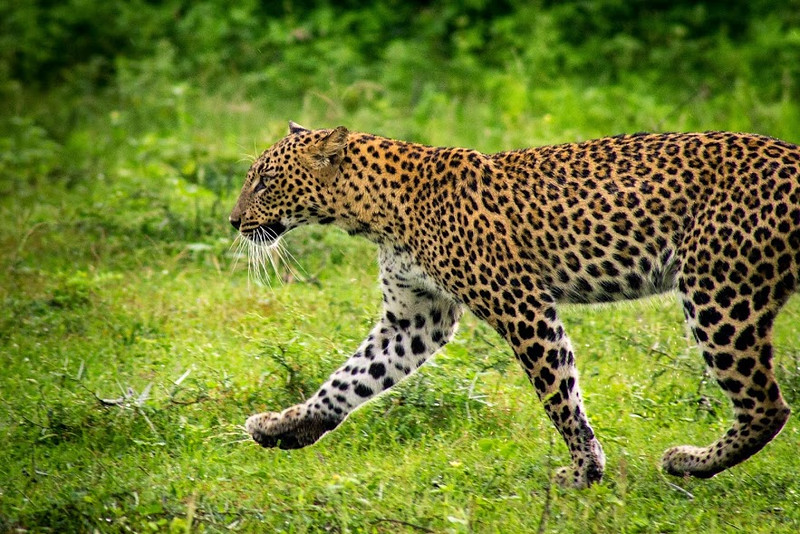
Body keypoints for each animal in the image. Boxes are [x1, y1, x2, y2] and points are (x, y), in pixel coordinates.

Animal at [230, 122, 800, 490]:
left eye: (264, 180)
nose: (233, 221)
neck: (374, 212)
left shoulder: (520, 305)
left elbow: (560, 397)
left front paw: (584, 473)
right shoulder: (416, 318)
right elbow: (349, 380)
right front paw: (284, 428)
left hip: (718, 291)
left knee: (766, 404)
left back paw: (690, 463)